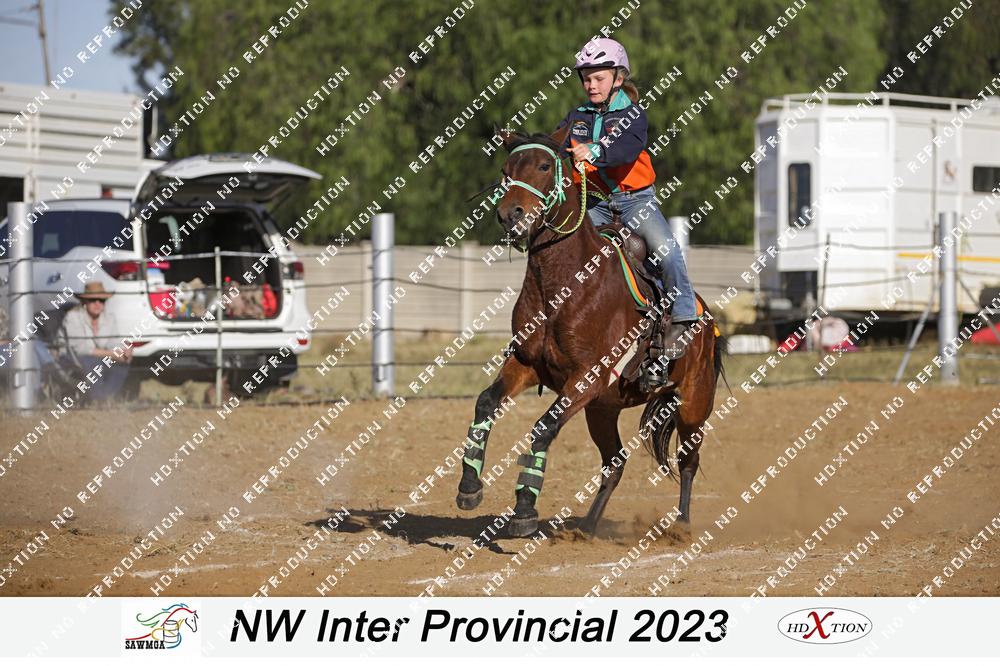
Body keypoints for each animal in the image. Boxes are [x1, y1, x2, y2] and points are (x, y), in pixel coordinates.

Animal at [455, 124, 726, 538]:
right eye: (506, 169)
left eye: (544, 165)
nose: (510, 214)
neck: (564, 286)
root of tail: (707, 319)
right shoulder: (528, 365)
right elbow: (486, 402)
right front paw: (470, 486)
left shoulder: (586, 377)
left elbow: (543, 428)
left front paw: (524, 508)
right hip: (602, 410)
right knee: (615, 464)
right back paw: (586, 526)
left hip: (694, 403)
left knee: (688, 461)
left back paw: (681, 524)